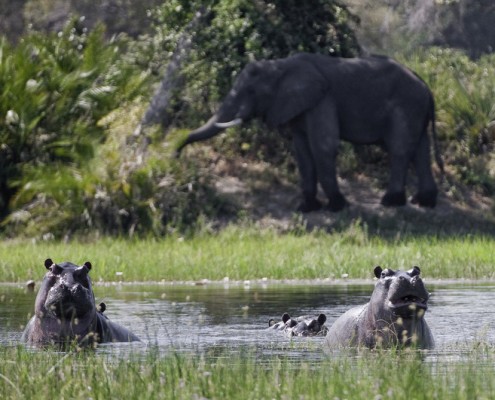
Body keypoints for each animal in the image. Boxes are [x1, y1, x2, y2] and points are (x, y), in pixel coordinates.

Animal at [178, 52, 446, 212]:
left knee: (399, 149)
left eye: (252, 92)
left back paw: (391, 202)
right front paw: (305, 207)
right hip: (415, 110)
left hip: (406, 106)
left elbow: (323, 146)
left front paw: (337, 206)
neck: (281, 65)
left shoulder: (321, 99)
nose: (176, 152)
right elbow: (302, 152)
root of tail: (426, 87)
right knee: (420, 150)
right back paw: (423, 202)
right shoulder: (298, 106)